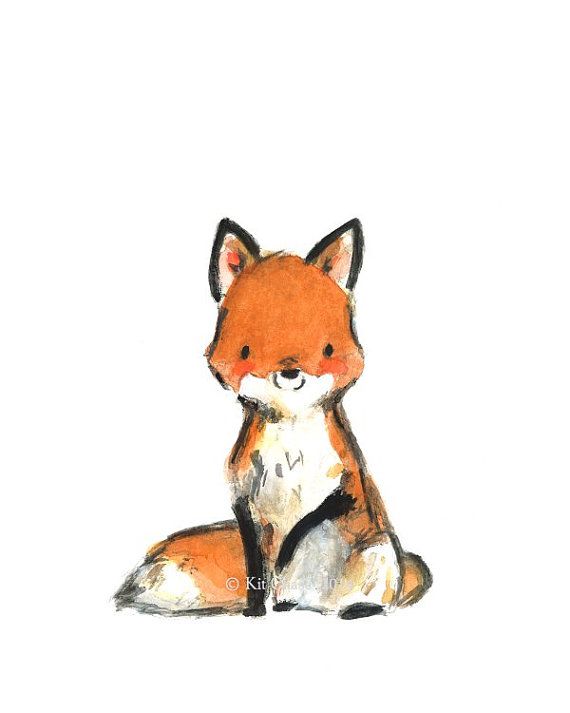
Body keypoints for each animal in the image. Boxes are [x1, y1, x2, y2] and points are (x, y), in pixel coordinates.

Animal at [115, 218, 432, 619]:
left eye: (327, 348)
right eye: (247, 349)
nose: (290, 371)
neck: (289, 448)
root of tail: (318, 606)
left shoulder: (342, 490)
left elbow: (295, 540)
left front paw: (281, 578)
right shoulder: (244, 502)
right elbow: (258, 568)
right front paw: (257, 609)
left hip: (378, 554)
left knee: (373, 596)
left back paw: (353, 608)